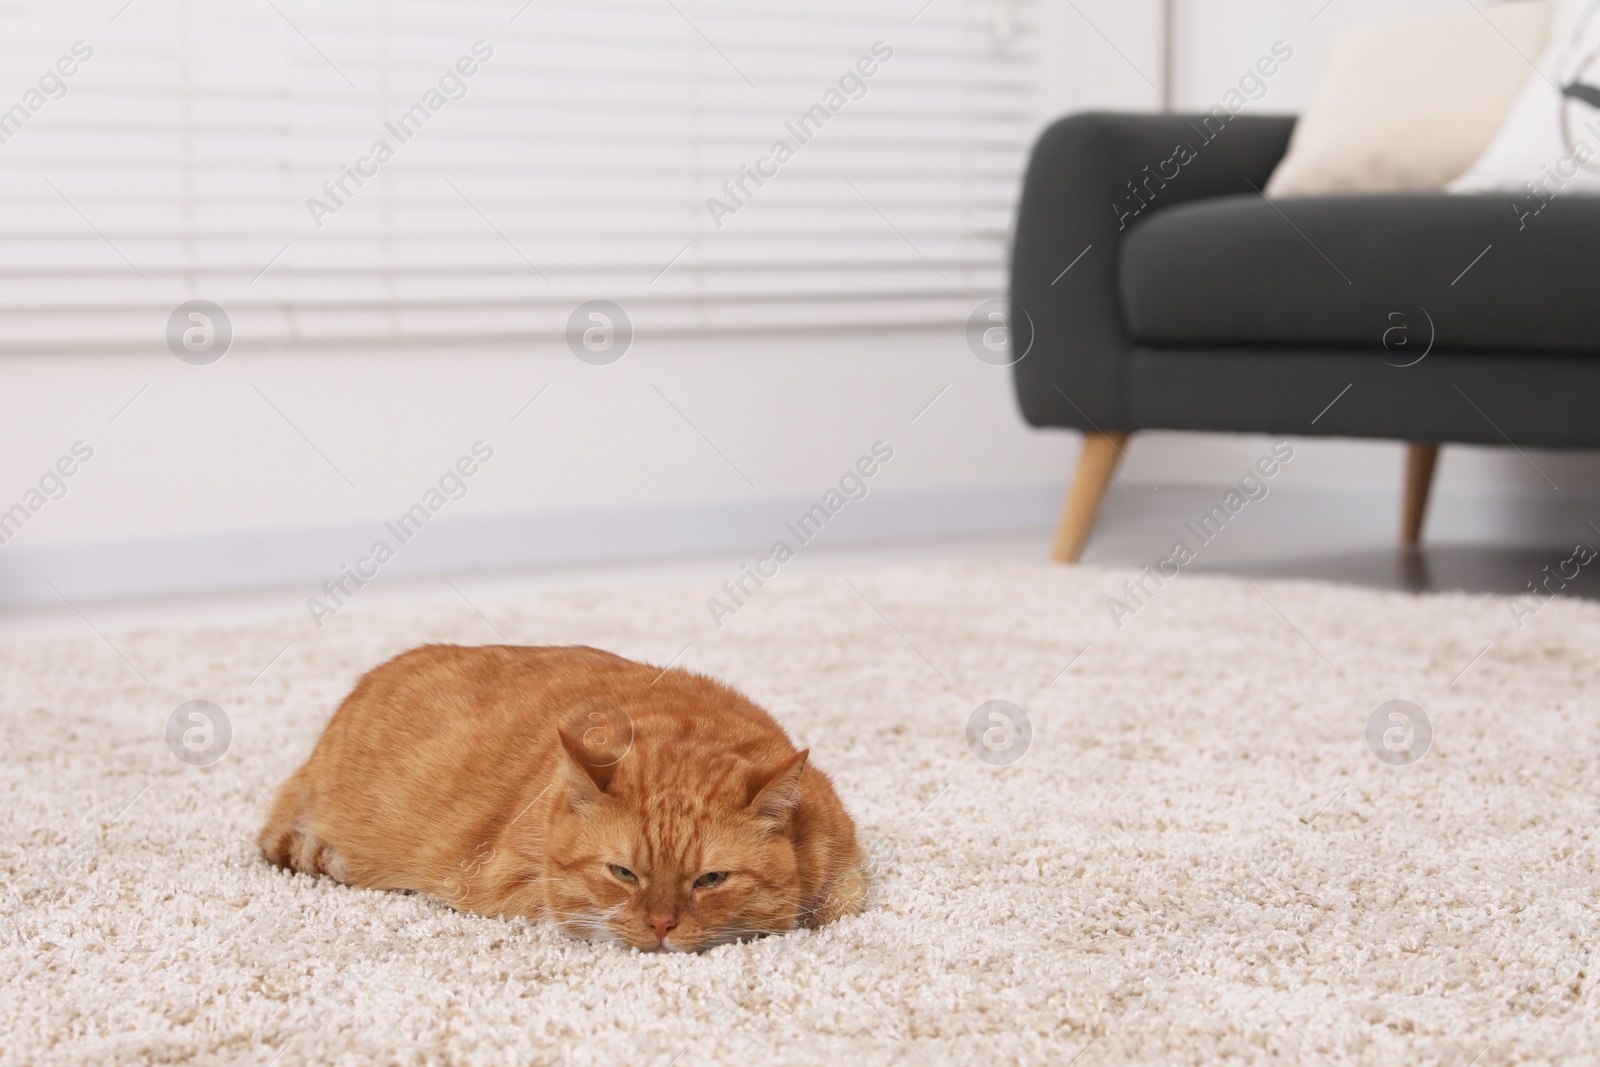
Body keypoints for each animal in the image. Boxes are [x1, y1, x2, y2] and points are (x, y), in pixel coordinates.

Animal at [260, 643, 870, 953]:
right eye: (623, 874)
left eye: (710, 880)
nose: (661, 926)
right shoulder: (512, 887)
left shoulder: (850, 874)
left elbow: (838, 903)